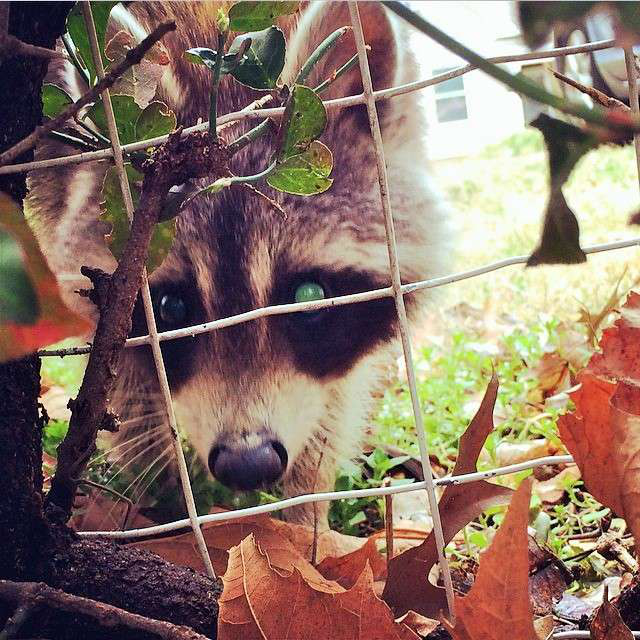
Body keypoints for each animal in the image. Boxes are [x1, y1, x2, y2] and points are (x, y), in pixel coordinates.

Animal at [27, 2, 448, 525]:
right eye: (170, 308)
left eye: (309, 297)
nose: (249, 465)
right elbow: (120, 381)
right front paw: (162, 498)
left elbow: (332, 400)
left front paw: (307, 513)